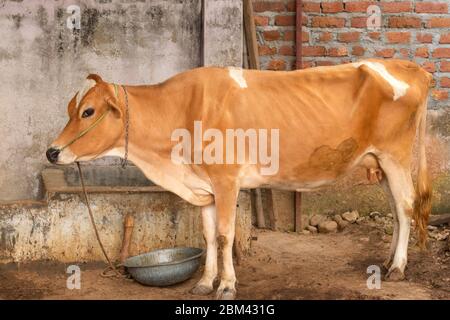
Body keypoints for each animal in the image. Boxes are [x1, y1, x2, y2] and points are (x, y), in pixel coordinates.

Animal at [46, 59, 432, 300]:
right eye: (72, 109)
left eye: (88, 111)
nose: (52, 152)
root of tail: (409, 67)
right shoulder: (203, 187)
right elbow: (207, 236)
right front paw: (205, 283)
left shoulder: (226, 181)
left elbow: (224, 235)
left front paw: (227, 285)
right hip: (379, 162)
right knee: (396, 210)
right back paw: (388, 261)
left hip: (396, 156)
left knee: (405, 206)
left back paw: (398, 267)